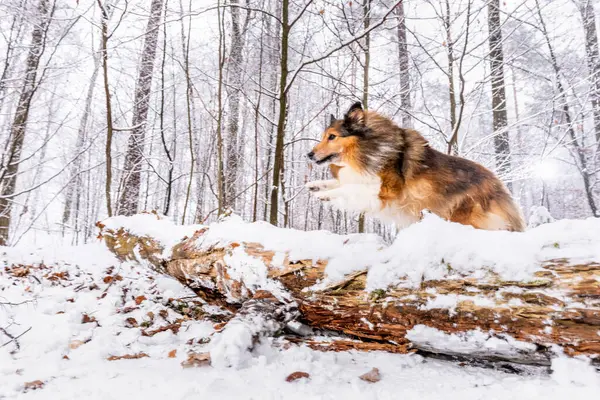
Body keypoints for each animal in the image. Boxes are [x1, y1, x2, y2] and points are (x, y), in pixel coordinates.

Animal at [308, 102, 524, 231]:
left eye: (332, 136)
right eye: (324, 136)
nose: (309, 155)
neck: (368, 148)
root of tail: (500, 188)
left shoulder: (385, 191)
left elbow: (349, 188)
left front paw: (325, 195)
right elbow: (341, 183)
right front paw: (316, 186)